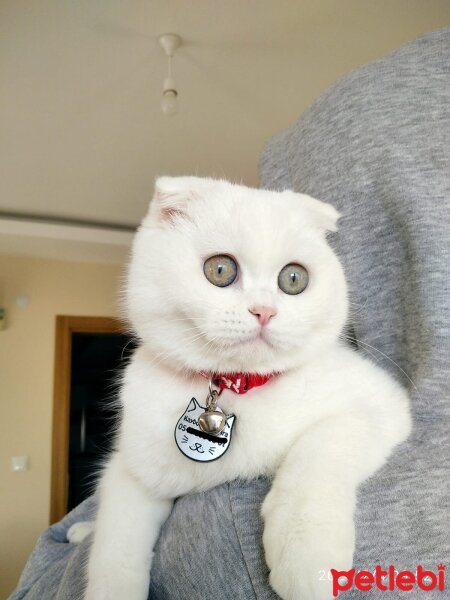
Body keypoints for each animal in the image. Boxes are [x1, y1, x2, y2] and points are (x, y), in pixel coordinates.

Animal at [69, 177, 412, 600]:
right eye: (220, 269)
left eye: (294, 279)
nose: (264, 311)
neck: (239, 386)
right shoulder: (133, 470)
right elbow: (114, 551)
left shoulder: (381, 404)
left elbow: (319, 447)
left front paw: (305, 554)